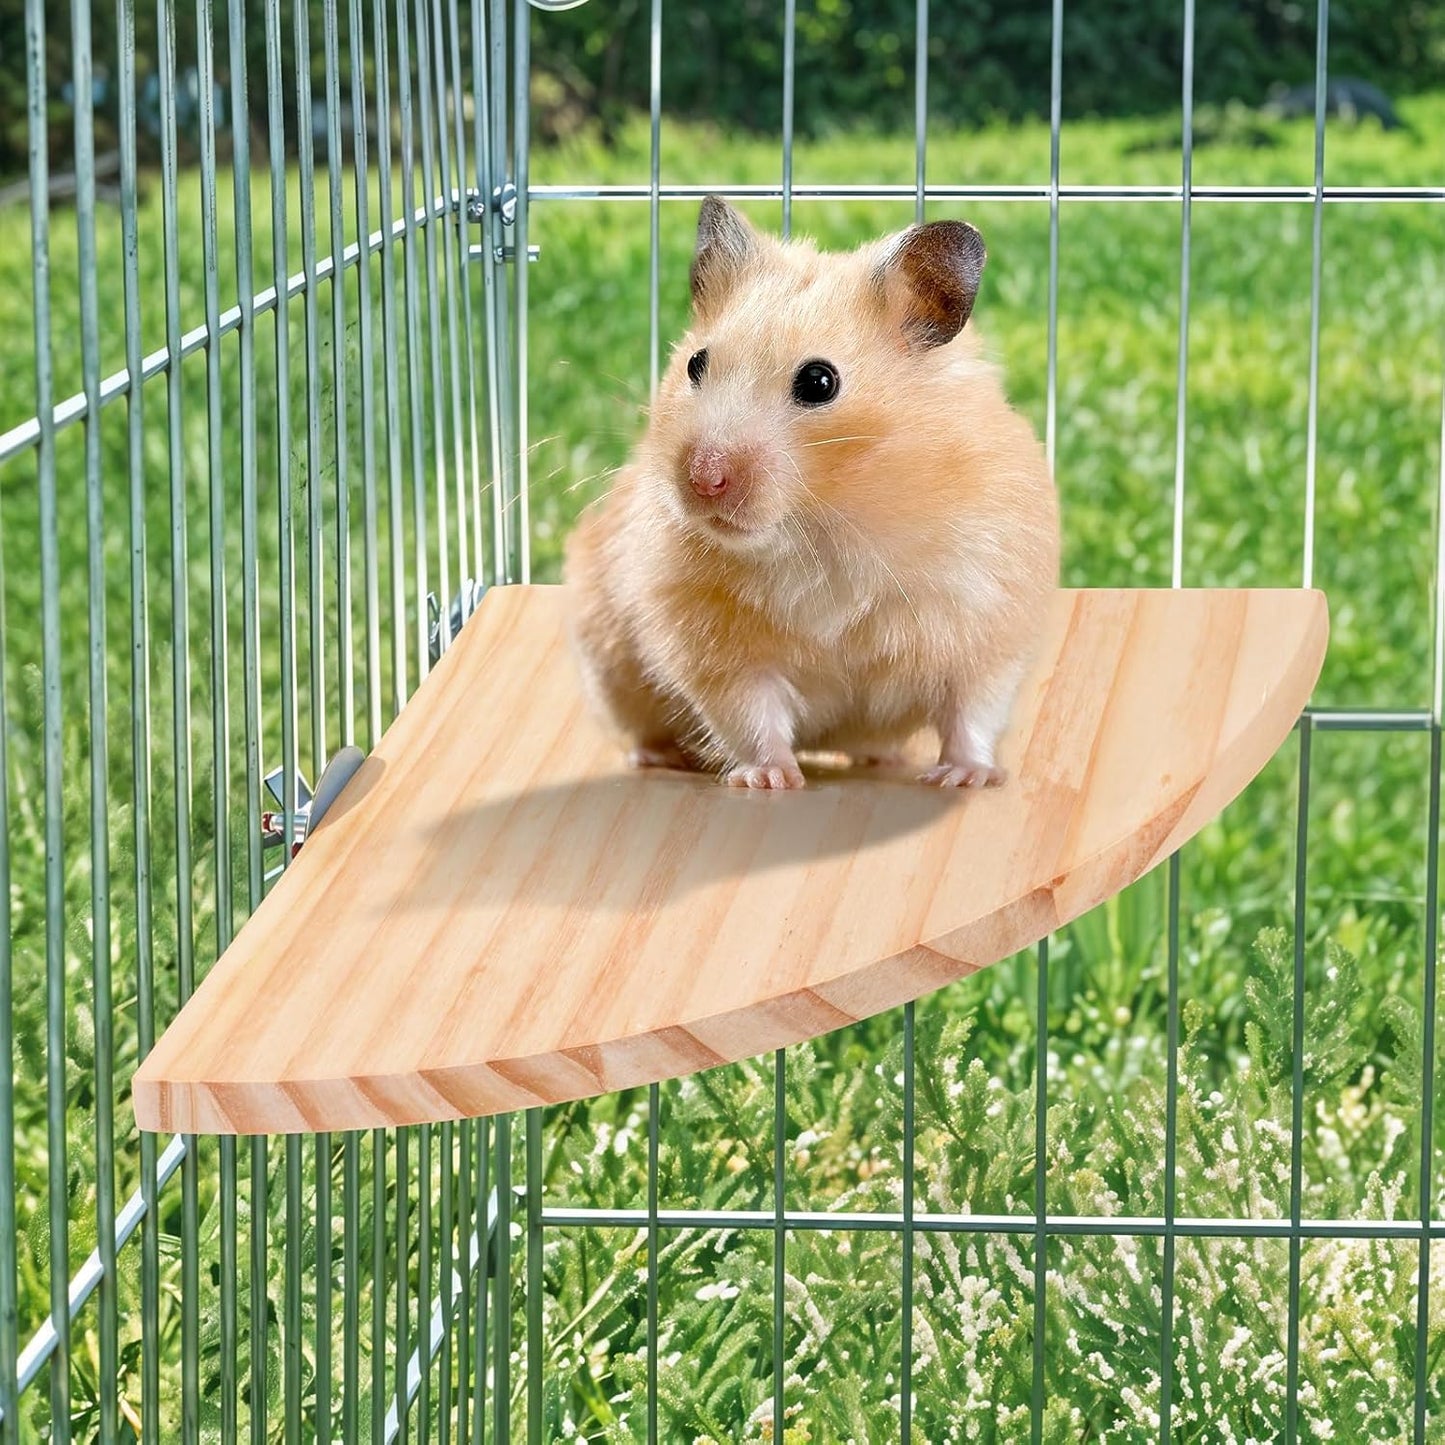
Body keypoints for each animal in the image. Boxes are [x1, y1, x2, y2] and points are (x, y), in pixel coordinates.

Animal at [563, 196, 1059, 791]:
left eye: (820, 382)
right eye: (695, 364)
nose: (703, 480)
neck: (825, 524)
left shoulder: (989, 620)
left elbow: (973, 711)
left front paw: (967, 778)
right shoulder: (712, 644)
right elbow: (749, 713)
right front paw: (770, 779)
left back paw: (887, 761)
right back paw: (660, 758)